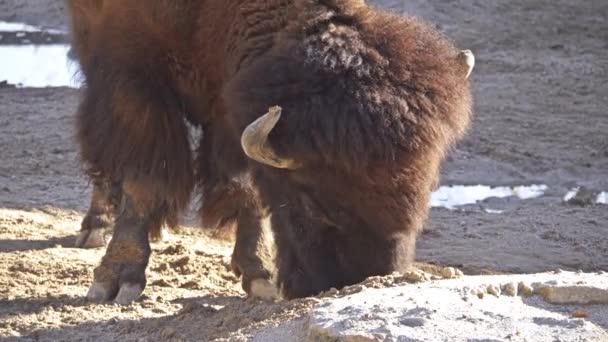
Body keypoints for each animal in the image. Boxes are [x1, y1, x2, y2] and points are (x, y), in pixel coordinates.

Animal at [66, 0, 476, 304]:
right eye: (314, 201)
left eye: (423, 191)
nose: (359, 280)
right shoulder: (134, 78)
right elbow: (145, 180)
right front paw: (117, 281)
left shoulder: (231, 101)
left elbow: (246, 186)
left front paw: (259, 274)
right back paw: (97, 225)